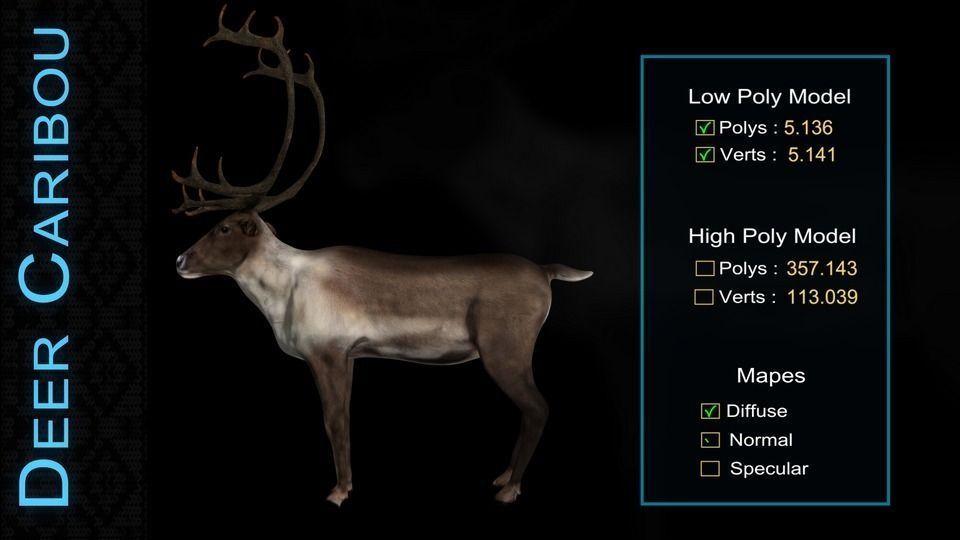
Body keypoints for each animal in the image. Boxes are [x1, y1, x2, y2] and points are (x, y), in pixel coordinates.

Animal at [172, 7, 592, 506]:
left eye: (223, 226)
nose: (180, 261)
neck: (283, 292)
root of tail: (546, 273)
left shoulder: (327, 350)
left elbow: (335, 422)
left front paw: (338, 492)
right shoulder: (351, 354)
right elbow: (344, 420)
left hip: (505, 347)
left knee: (537, 407)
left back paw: (509, 488)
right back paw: (502, 478)